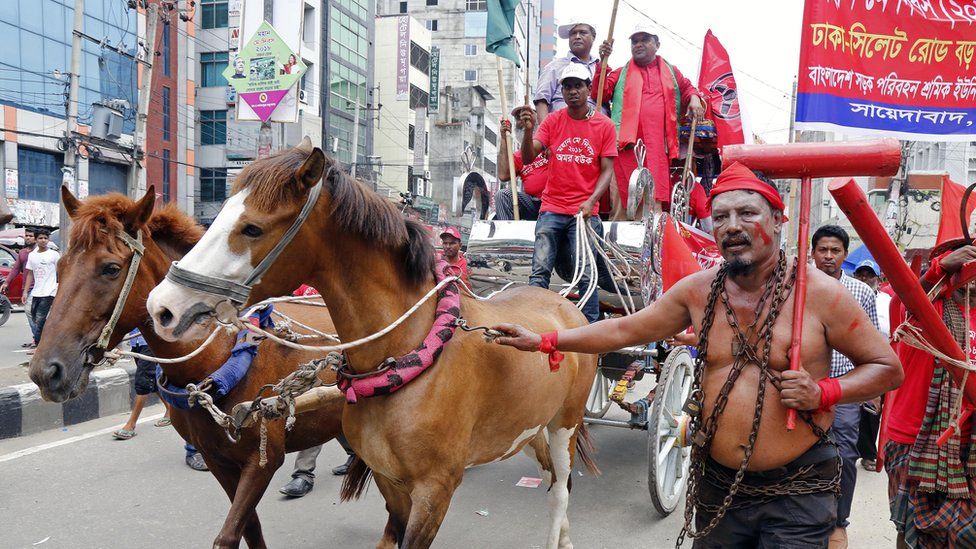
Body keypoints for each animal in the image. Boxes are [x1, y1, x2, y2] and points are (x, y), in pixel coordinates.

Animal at [31, 188, 366, 548]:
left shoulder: (263, 460)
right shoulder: (217, 458)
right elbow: (250, 528)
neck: (217, 358)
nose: (45, 372)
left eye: (110, 268)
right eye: (60, 267)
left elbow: (229, 534)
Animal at [146, 139, 604, 544]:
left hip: (564, 423)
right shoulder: (388, 479)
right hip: (527, 428)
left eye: (252, 228)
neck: (405, 355)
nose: (163, 306)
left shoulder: (435, 490)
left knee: (559, 492)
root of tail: (564, 303)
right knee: (548, 477)